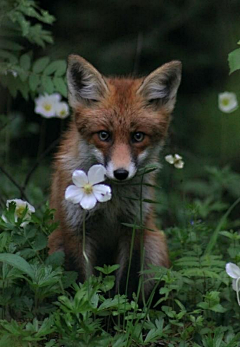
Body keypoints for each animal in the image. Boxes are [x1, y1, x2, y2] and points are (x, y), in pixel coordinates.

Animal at [47, 55, 181, 302]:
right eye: (104, 135)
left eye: (137, 136)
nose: (120, 173)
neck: (111, 202)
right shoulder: (76, 230)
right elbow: (81, 283)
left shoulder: (134, 228)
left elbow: (127, 284)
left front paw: (120, 311)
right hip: (55, 243)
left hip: (155, 244)